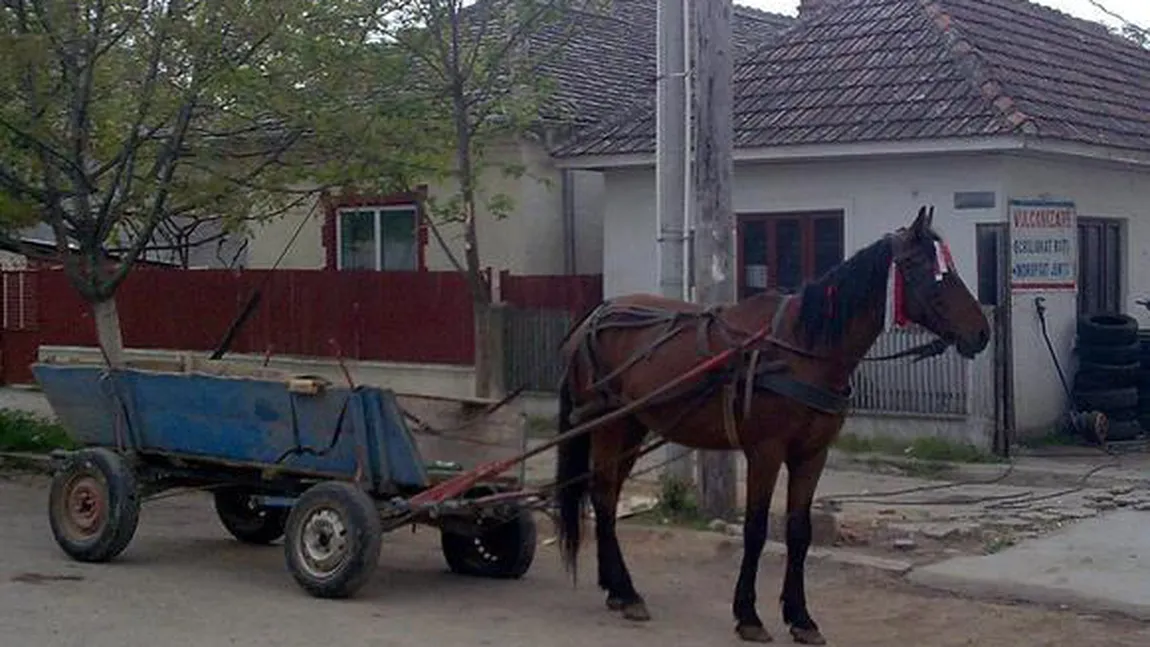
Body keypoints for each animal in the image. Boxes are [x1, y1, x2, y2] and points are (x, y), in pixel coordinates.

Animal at [552, 206, 993, 643]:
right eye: (925, 268)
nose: (982, 332)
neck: (801, 349)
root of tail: (595, 316)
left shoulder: (812, 454)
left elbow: (798, 532)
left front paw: (800, 617)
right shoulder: (765, 452)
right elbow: (756, 529)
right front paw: (748, 614)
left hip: (631, 427)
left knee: (606, 496)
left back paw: (615, 588)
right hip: (608, 425)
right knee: (604, 495)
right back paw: (626, 591)